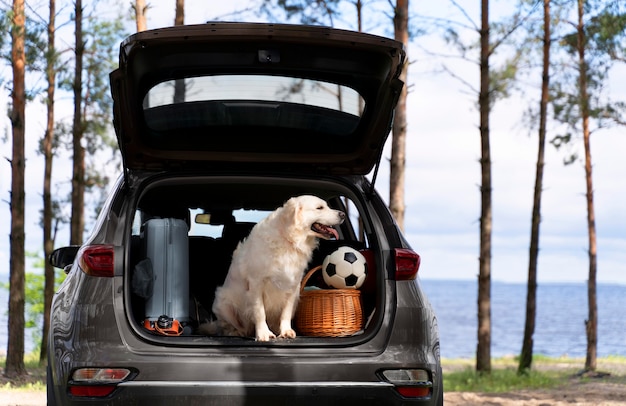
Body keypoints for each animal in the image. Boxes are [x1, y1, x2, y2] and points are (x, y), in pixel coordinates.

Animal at [201, 195, 344, 340]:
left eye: (327, 206)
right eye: (319, 208)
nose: (343, 214)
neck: (289, 239)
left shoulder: (293, 285)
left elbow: (286, 312)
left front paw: (286, 331)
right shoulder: (256, 283)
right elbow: (259, 312)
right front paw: (263, 333)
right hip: (223, 303)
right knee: (230, 327)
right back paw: (236, 332)